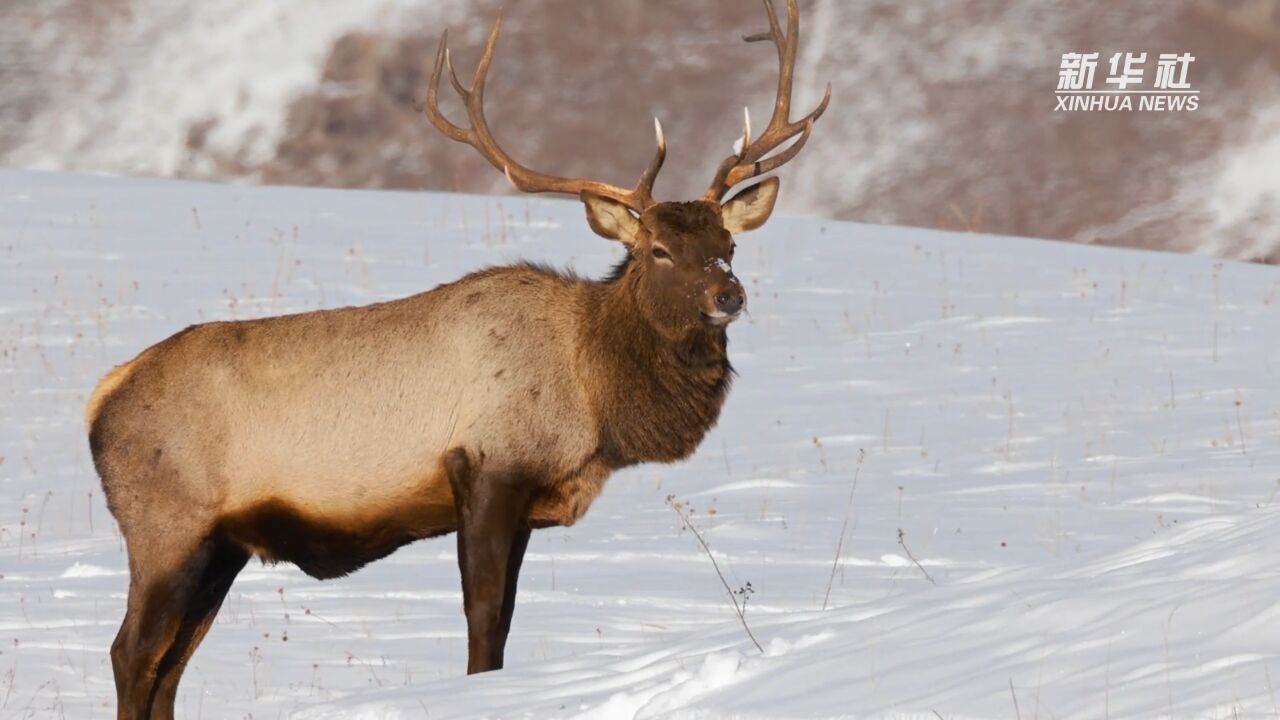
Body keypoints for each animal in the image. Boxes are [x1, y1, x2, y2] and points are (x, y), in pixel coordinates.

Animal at [90, 2, 829, 712]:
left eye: (728, 244)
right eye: (659, 250)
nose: (729, 295)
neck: (593, 397)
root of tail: (101, 401)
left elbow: (502, 624)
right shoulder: (486, 470)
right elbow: (483, 623)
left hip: (220, 547)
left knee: (170, 667)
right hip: (167, 527)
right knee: (131, 653)